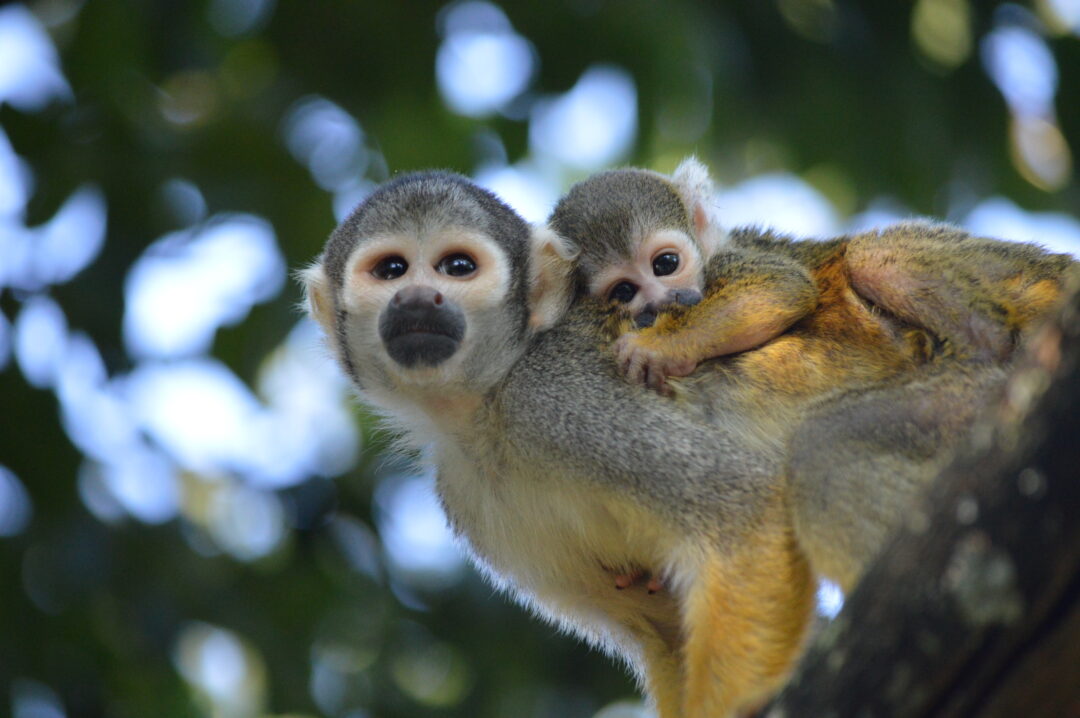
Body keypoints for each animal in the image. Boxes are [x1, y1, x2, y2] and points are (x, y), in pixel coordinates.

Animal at [552, 156, 1075, 395]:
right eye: (625, 291)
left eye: (665, 265)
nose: (662, 304)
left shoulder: (728, 262)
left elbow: (781, 286)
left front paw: (660, 347)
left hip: (1010, 271)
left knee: (869, 254)